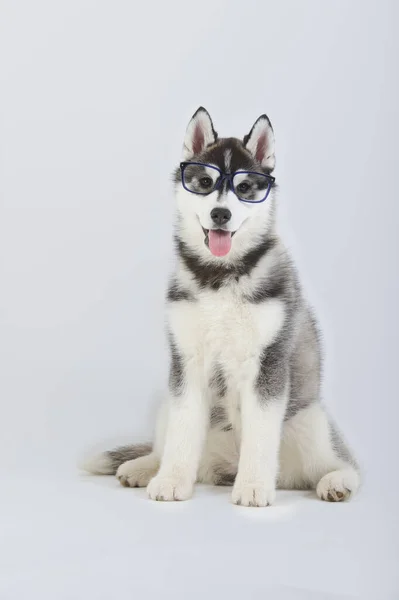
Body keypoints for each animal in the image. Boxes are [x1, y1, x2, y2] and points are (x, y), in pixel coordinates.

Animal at [83, 108, 360, 506]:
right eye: (204, 182)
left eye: (244, 189)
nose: (220, 214)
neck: (220, 276)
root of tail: (225, 466)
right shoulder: (186, 362)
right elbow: (182, 432)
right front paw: (171, 480)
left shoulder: (267, 364)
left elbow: (261, 434)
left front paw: (255, 486)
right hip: (168, 402)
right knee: (164, 444)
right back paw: (143, 466)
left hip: (311, 421)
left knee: (341, 462)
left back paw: (336, 481)